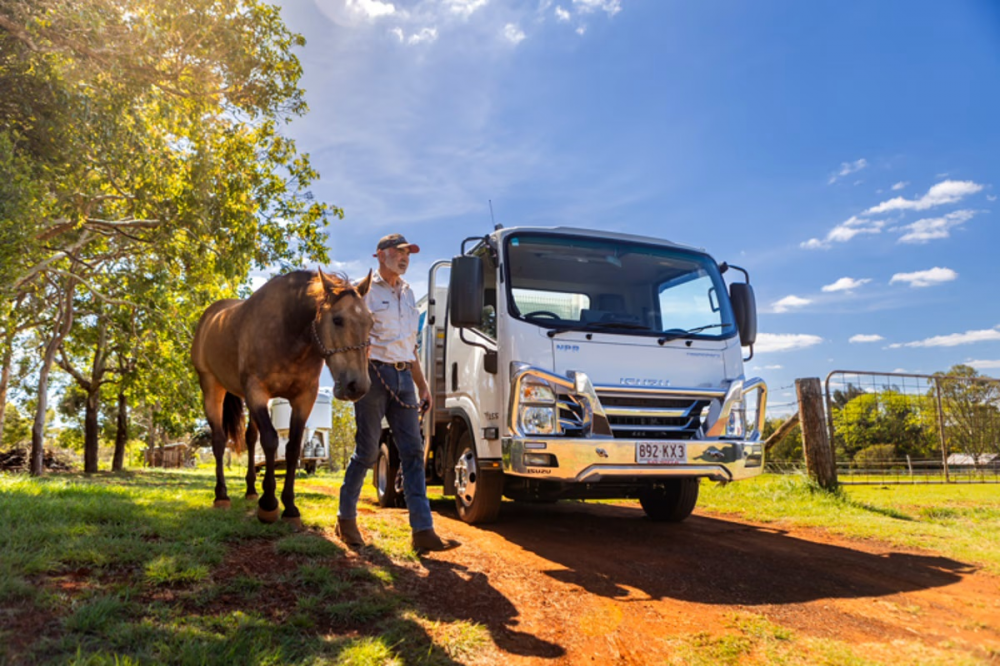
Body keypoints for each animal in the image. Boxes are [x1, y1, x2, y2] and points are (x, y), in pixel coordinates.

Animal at [189, 266, 374, 524]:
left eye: (371, 322)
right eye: (337, 320)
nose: (357, 386)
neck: (288, 331)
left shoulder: (303, 398)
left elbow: (293, 448)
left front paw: (289, 506)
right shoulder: (257, 391)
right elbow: (270, 441)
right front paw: (268, 503)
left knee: (250, 438)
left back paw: (250, 490)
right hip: (211, 387)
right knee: (218, 441)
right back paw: (222, 496)